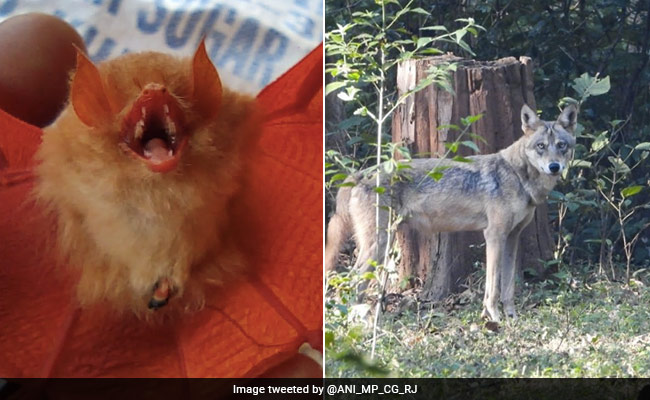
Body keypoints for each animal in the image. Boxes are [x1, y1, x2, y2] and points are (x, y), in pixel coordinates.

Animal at [325, 104, 578, 322]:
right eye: (541, 146)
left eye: (561, 146)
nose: (554, 167)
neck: (518, 175)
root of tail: (360, 173)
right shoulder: (494, 235)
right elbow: (493, 287)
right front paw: (494, 318)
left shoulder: (512, 237)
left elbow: (507, 287)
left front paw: (511, 318)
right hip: (378, 245)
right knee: (350, 280)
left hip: (383, 246)